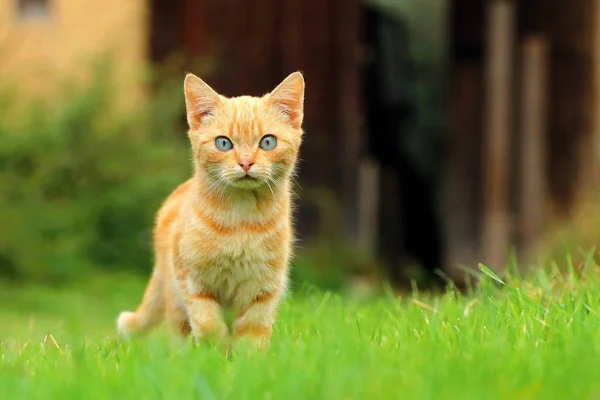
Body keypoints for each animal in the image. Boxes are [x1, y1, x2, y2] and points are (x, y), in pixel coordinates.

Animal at [117, 72, 304, 350]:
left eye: (268, 142)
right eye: (223, 143)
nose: (246, 163)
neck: (241, 220)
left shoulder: (263, 288)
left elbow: (253, 334)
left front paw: (248, 359)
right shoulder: (193, 281)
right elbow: (208, 324)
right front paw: (214, 354)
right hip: (174, 296)